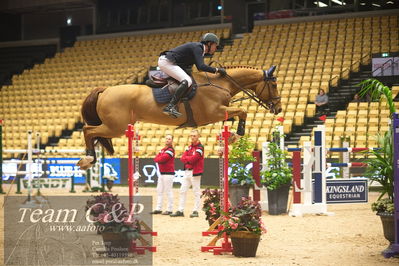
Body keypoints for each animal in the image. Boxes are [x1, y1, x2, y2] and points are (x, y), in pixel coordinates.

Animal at [77, 64, 282, 169]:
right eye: (273, 85)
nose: (279, 109)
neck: (221, 83)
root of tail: (105, 90)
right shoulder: (214, 112)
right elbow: (242, 111)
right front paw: (236, 134)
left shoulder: (220, 113)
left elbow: (239, 113)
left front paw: (231, 135)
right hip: (116, 127)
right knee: (88, 130)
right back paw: (88, 158)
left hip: (115, 126)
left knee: (93, 133)